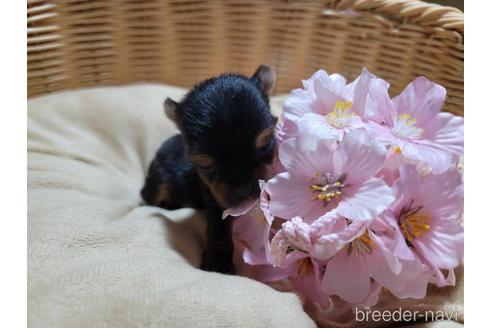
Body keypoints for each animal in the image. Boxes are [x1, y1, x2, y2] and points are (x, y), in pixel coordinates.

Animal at [141, 64, 276, 274]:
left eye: (265, 143)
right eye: (205, 163)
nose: (245, 189)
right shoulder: (213, 195)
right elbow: (217, 225)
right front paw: (218, 261)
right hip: (159, 180)